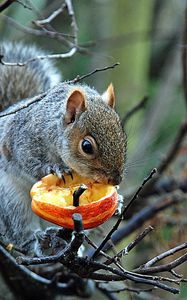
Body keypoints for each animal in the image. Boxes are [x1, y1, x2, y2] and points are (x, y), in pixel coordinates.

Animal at [0, 41, 126, 253]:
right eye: (86, 146)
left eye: (123, 136)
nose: (115, 180)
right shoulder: (20, 142)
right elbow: (28, 163)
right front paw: (54, 169)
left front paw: (119, 201)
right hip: (9, 199)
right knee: (20, 231)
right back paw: (39, 242)